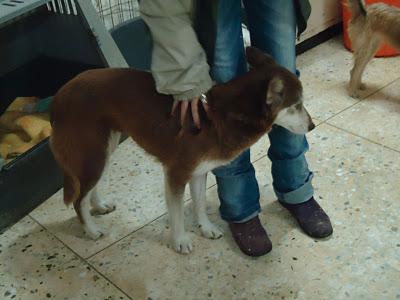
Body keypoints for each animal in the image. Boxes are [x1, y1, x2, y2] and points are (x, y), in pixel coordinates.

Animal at [50, 47, 314, 253]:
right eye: (296, 105)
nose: (312, 126)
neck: (219, 114)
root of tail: (60, 94)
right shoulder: (176, 174)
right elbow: (176, 213)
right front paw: (180, 241)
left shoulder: (198, 172)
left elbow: (199, 203)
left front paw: (205, 228)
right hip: (92, 152)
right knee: (79, 199)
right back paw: (91, 230)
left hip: (103, 149)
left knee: (89, 188)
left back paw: (99, 206)